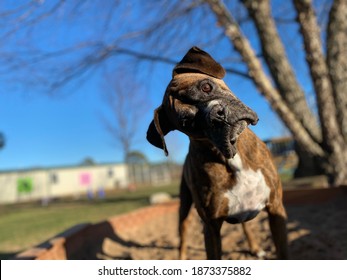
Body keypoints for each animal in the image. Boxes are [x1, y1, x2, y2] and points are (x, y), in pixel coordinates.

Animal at [146, 47, 288, 260]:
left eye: (206, 87)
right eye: (187, 122)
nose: (217, 114)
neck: (232, 158)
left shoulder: (276, 208)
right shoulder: (211, 228)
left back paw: (255, 247)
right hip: (184, 208)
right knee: (183, 235)